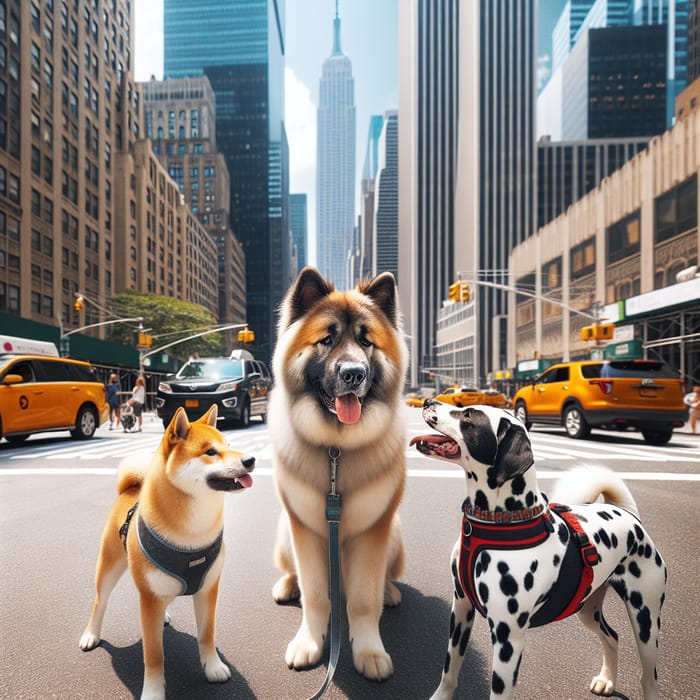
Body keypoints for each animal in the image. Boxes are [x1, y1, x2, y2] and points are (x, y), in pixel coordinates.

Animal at [80, 404, 254, 700]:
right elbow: (154, 655)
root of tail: (131, 488)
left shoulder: (208, 588)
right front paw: (152, 691)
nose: (251, 459)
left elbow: (207, 635)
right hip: (109, 566)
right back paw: (91, 634)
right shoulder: (149, 599)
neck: (193, 534)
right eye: (210, 452)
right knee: (99, 601)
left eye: (230, 445)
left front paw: (213, 667)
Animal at [410, 400, 668, 700]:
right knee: (612, 637)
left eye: (468, 416)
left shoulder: (508, 639)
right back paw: (607, 680)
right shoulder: (461, 608)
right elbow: (450, 669)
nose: (428, 401)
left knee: (649, 678)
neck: (502, 519)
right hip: (588, 610)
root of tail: (630, 515)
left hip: (646, 621)